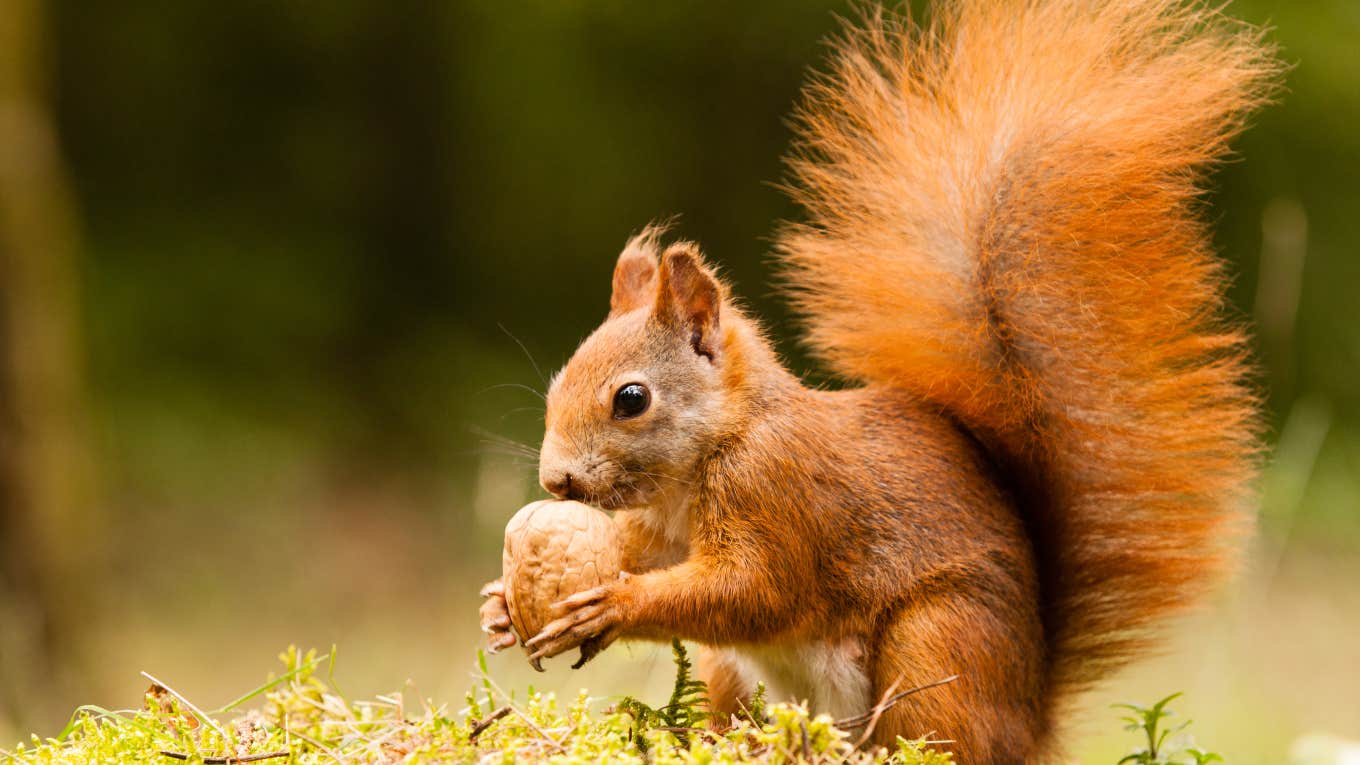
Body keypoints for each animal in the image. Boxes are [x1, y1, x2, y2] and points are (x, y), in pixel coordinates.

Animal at [476, 0, 1272, 756]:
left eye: (631, 399)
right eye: (557, 385)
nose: (554, 481)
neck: (709, 455)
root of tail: (1030, 716)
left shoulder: (780, 493)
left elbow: (754, 590)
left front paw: (614, 605)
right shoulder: (665, 533)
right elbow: (647, 557)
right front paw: (500, 603)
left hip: (937, 642)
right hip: (735, 674)